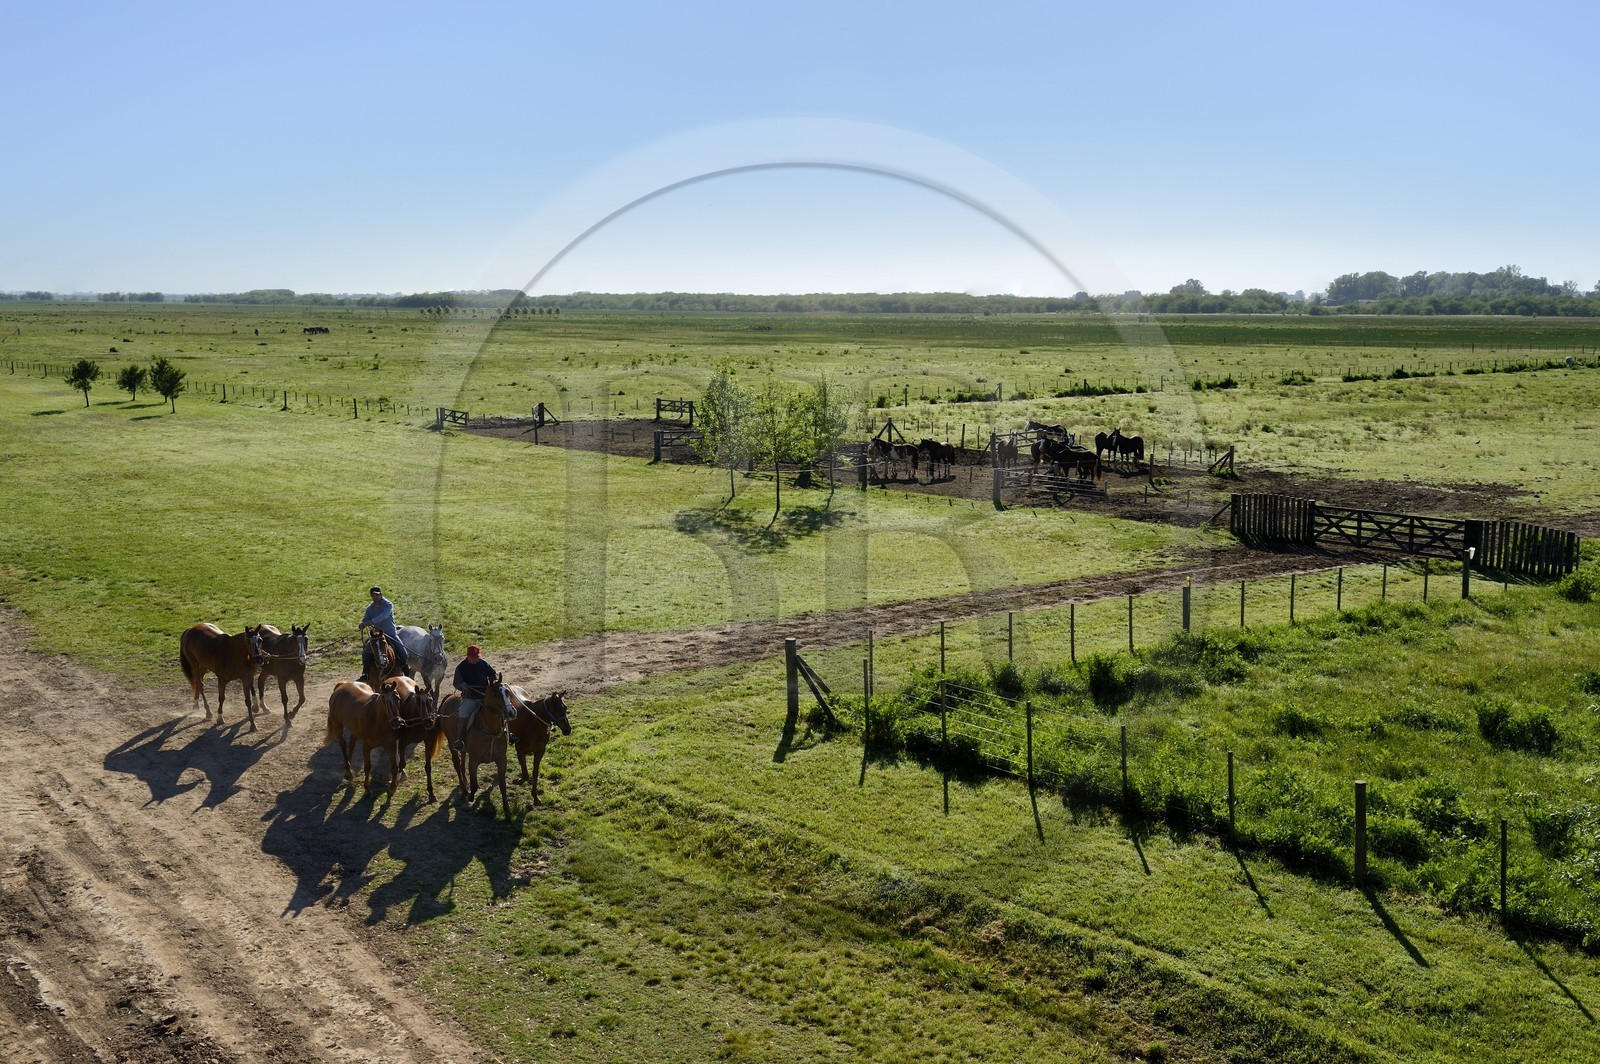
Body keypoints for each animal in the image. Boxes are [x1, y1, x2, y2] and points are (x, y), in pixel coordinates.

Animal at [439, 673, 518, 818]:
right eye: (495, 693)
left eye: (507, 692)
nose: (511, 712)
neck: (490, 730)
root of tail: (449, 697)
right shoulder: (474, 761)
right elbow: (475, 785)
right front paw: (471, 797)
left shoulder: (502, 760)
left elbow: (503, 786)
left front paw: (507, 811)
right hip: (451, 742)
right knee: (457, 763)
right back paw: (464, 790)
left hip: (464, 749)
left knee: (462, 762)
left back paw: (464, 784)